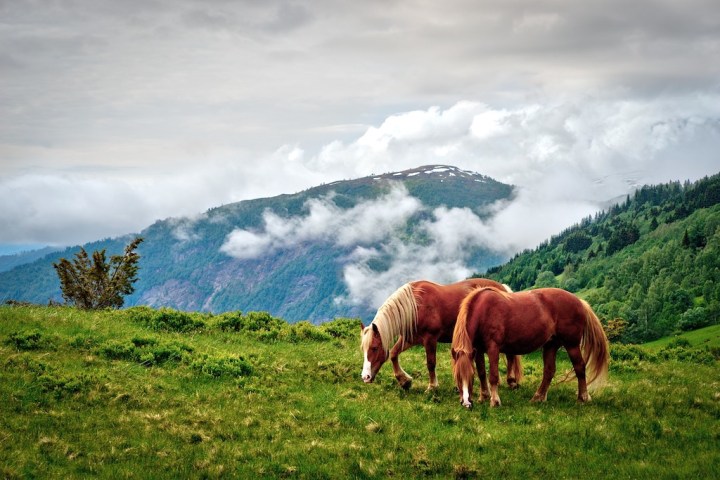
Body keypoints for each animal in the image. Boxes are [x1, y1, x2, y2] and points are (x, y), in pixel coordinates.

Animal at [360, 278, 522, 391]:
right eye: (364, 349)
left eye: (374, 348)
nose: (365, 377)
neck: (415, 306)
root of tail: (503, 288)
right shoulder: (410, 339)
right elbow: (393, 353)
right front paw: (404, 381)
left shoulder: (430, 339)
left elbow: (431, 363)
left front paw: (432, 386)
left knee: (510, 356)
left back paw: (511, 381)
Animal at [452, 287, 609, 409]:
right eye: (457, 377)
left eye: (470, 378)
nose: (466, 403)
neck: (484, 310)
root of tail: (580, 302)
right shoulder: (478, 350)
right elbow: (482, 373)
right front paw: (483, 397)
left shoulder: (493, 348)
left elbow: (493, 376)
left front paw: (495, 401)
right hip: (551, 345)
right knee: (549, 371)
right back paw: (538, 397)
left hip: (572, 345)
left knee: (579, 367)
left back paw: (582, 398)